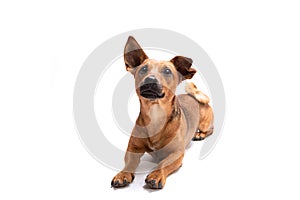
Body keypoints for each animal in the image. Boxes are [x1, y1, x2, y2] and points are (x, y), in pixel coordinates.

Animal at [110, 36, 213, 189]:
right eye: (143, 69)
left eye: (167, 71)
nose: (150, 79)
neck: (156, 114)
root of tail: (194, 96)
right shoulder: (133, 150)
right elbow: (129, 163)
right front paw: (123, 174)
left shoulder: (176, 153)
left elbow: (163, 164)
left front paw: (156, 174)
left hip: (205, 123)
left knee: (210, 129)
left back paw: (200, 134)